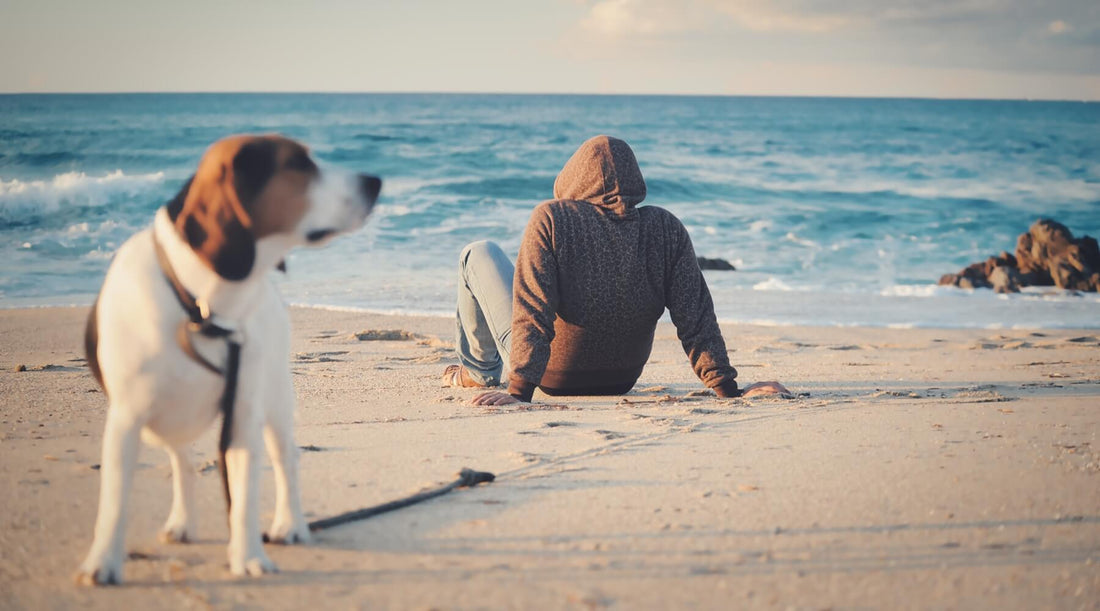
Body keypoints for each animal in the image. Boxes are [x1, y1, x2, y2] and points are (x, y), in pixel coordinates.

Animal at [76, 136, 378, 585]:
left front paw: (248, 556)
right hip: (163, 424)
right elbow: (114, 501)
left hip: (275, 399)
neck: (201, 307)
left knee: (286, 458)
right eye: (297, 164)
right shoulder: (127, 419)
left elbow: (245, 497)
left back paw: (290, 524)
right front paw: (103, 562)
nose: (375, 181)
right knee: (182, 460)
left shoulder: (242, 416)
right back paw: (183, 522)